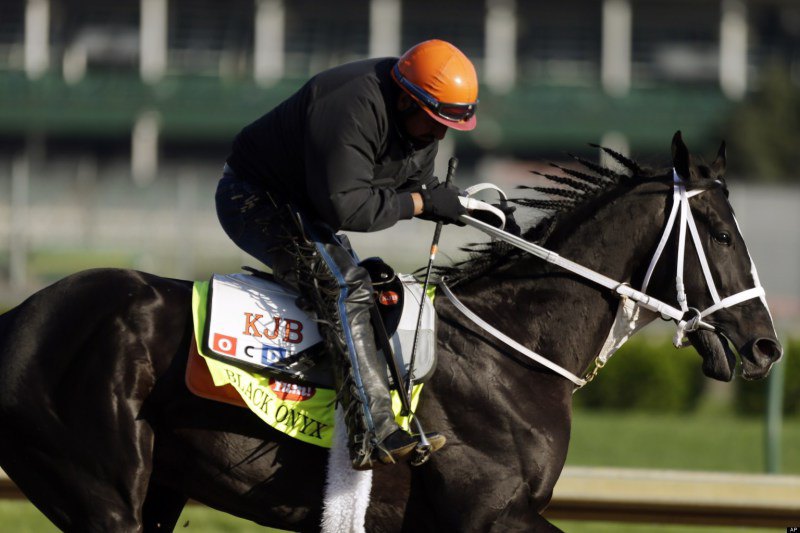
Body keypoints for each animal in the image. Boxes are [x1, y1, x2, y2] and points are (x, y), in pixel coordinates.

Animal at [0, 132, 780, 528]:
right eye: (719, 232)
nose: (766, 344)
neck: (513, 355)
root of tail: (18, 318)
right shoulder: (483, 515)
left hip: (157, 488)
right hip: (100, 489)